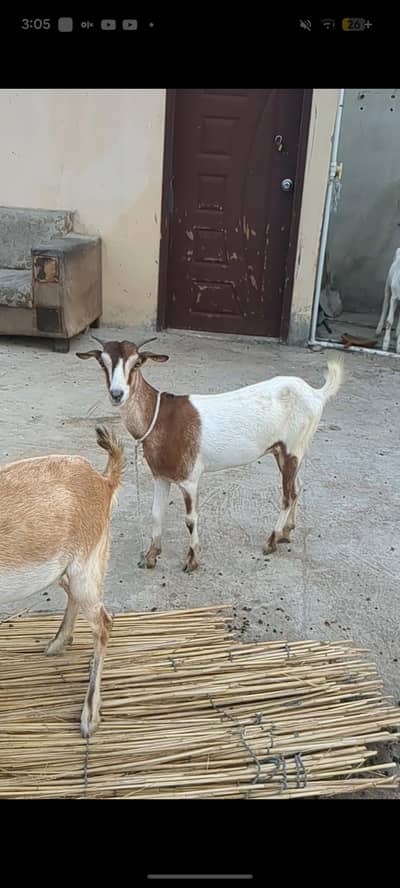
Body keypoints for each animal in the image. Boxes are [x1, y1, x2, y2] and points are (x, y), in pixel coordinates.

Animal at [0, 426, 124, 737]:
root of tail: (102, 482)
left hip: (85, 568)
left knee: (104, 624)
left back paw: (89, 715)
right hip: (62, 570)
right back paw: (58, 643)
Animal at [77, 339, 343, 573]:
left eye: (137, 363)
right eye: (102, 363)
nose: (117, 394)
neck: (159, 417)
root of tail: (316, 394)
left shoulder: (189, 477)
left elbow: (190, 519)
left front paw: (192, 561)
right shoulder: (161, 475)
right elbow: (156, 513)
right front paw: (151, 556)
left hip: (291, 448)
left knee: (288, 495)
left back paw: (271, 541)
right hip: (291, 450)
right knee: (298, 486)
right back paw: (287, 532)